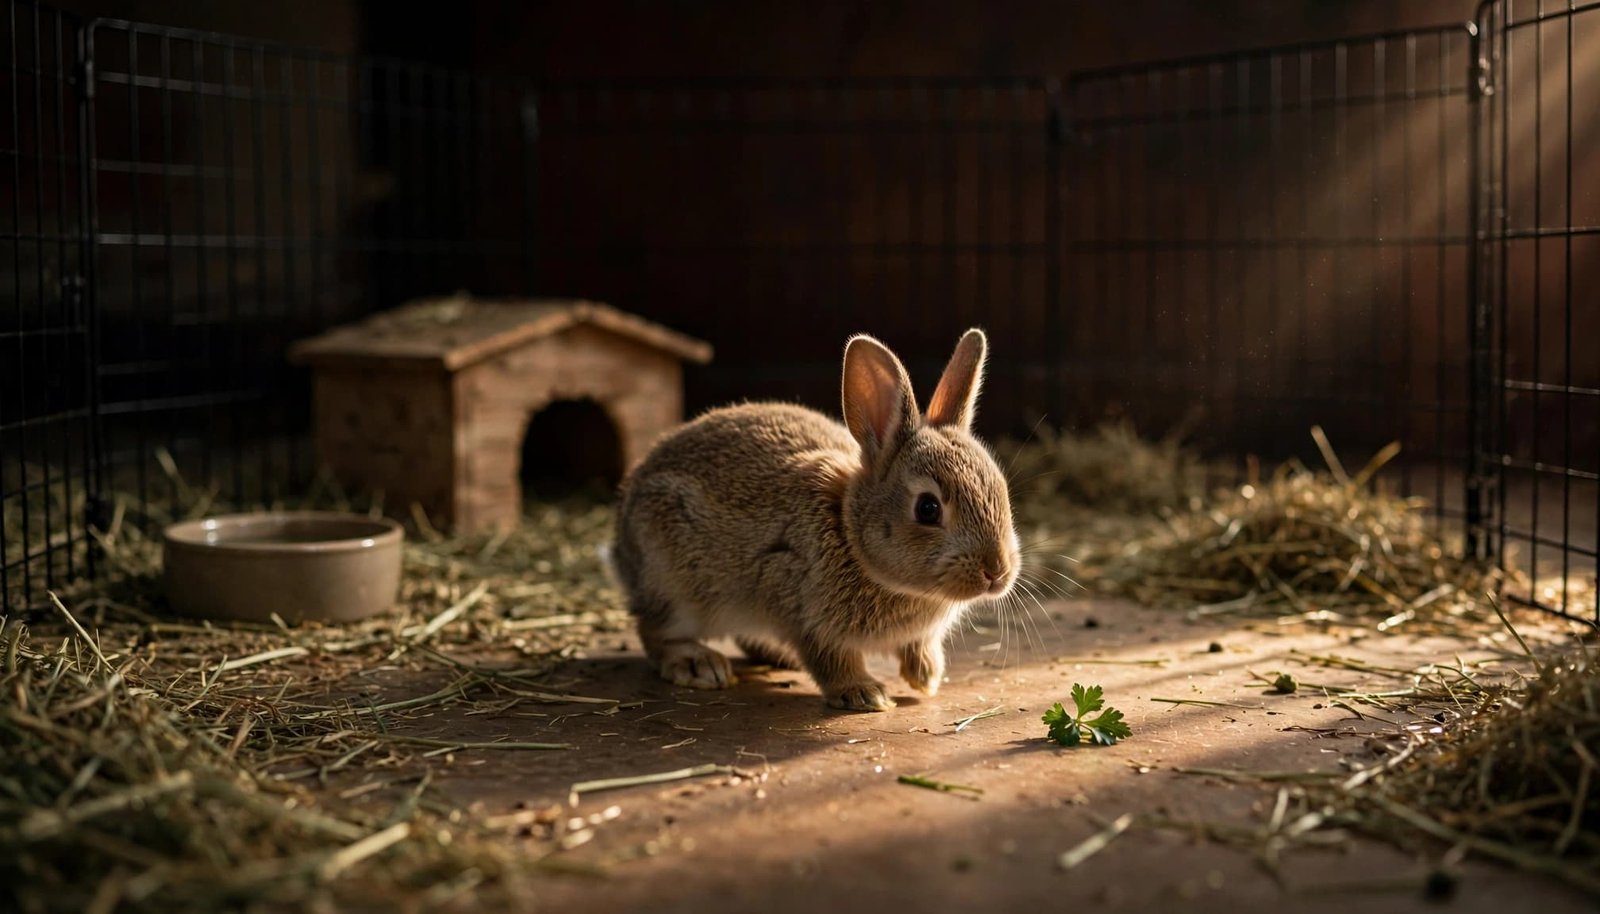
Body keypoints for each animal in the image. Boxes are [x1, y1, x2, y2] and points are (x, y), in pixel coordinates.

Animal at [610, 329, 1020, 712]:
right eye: (928, 509)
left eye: (1002, 491)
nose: (996, 572)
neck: (851, 534)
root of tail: (621, 550)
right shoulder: (800, 605)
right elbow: (830, 657)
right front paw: (864, 693)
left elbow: (919, 645)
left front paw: (926, 675)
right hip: (673, 579)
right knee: (655, 630)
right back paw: (698, 664)